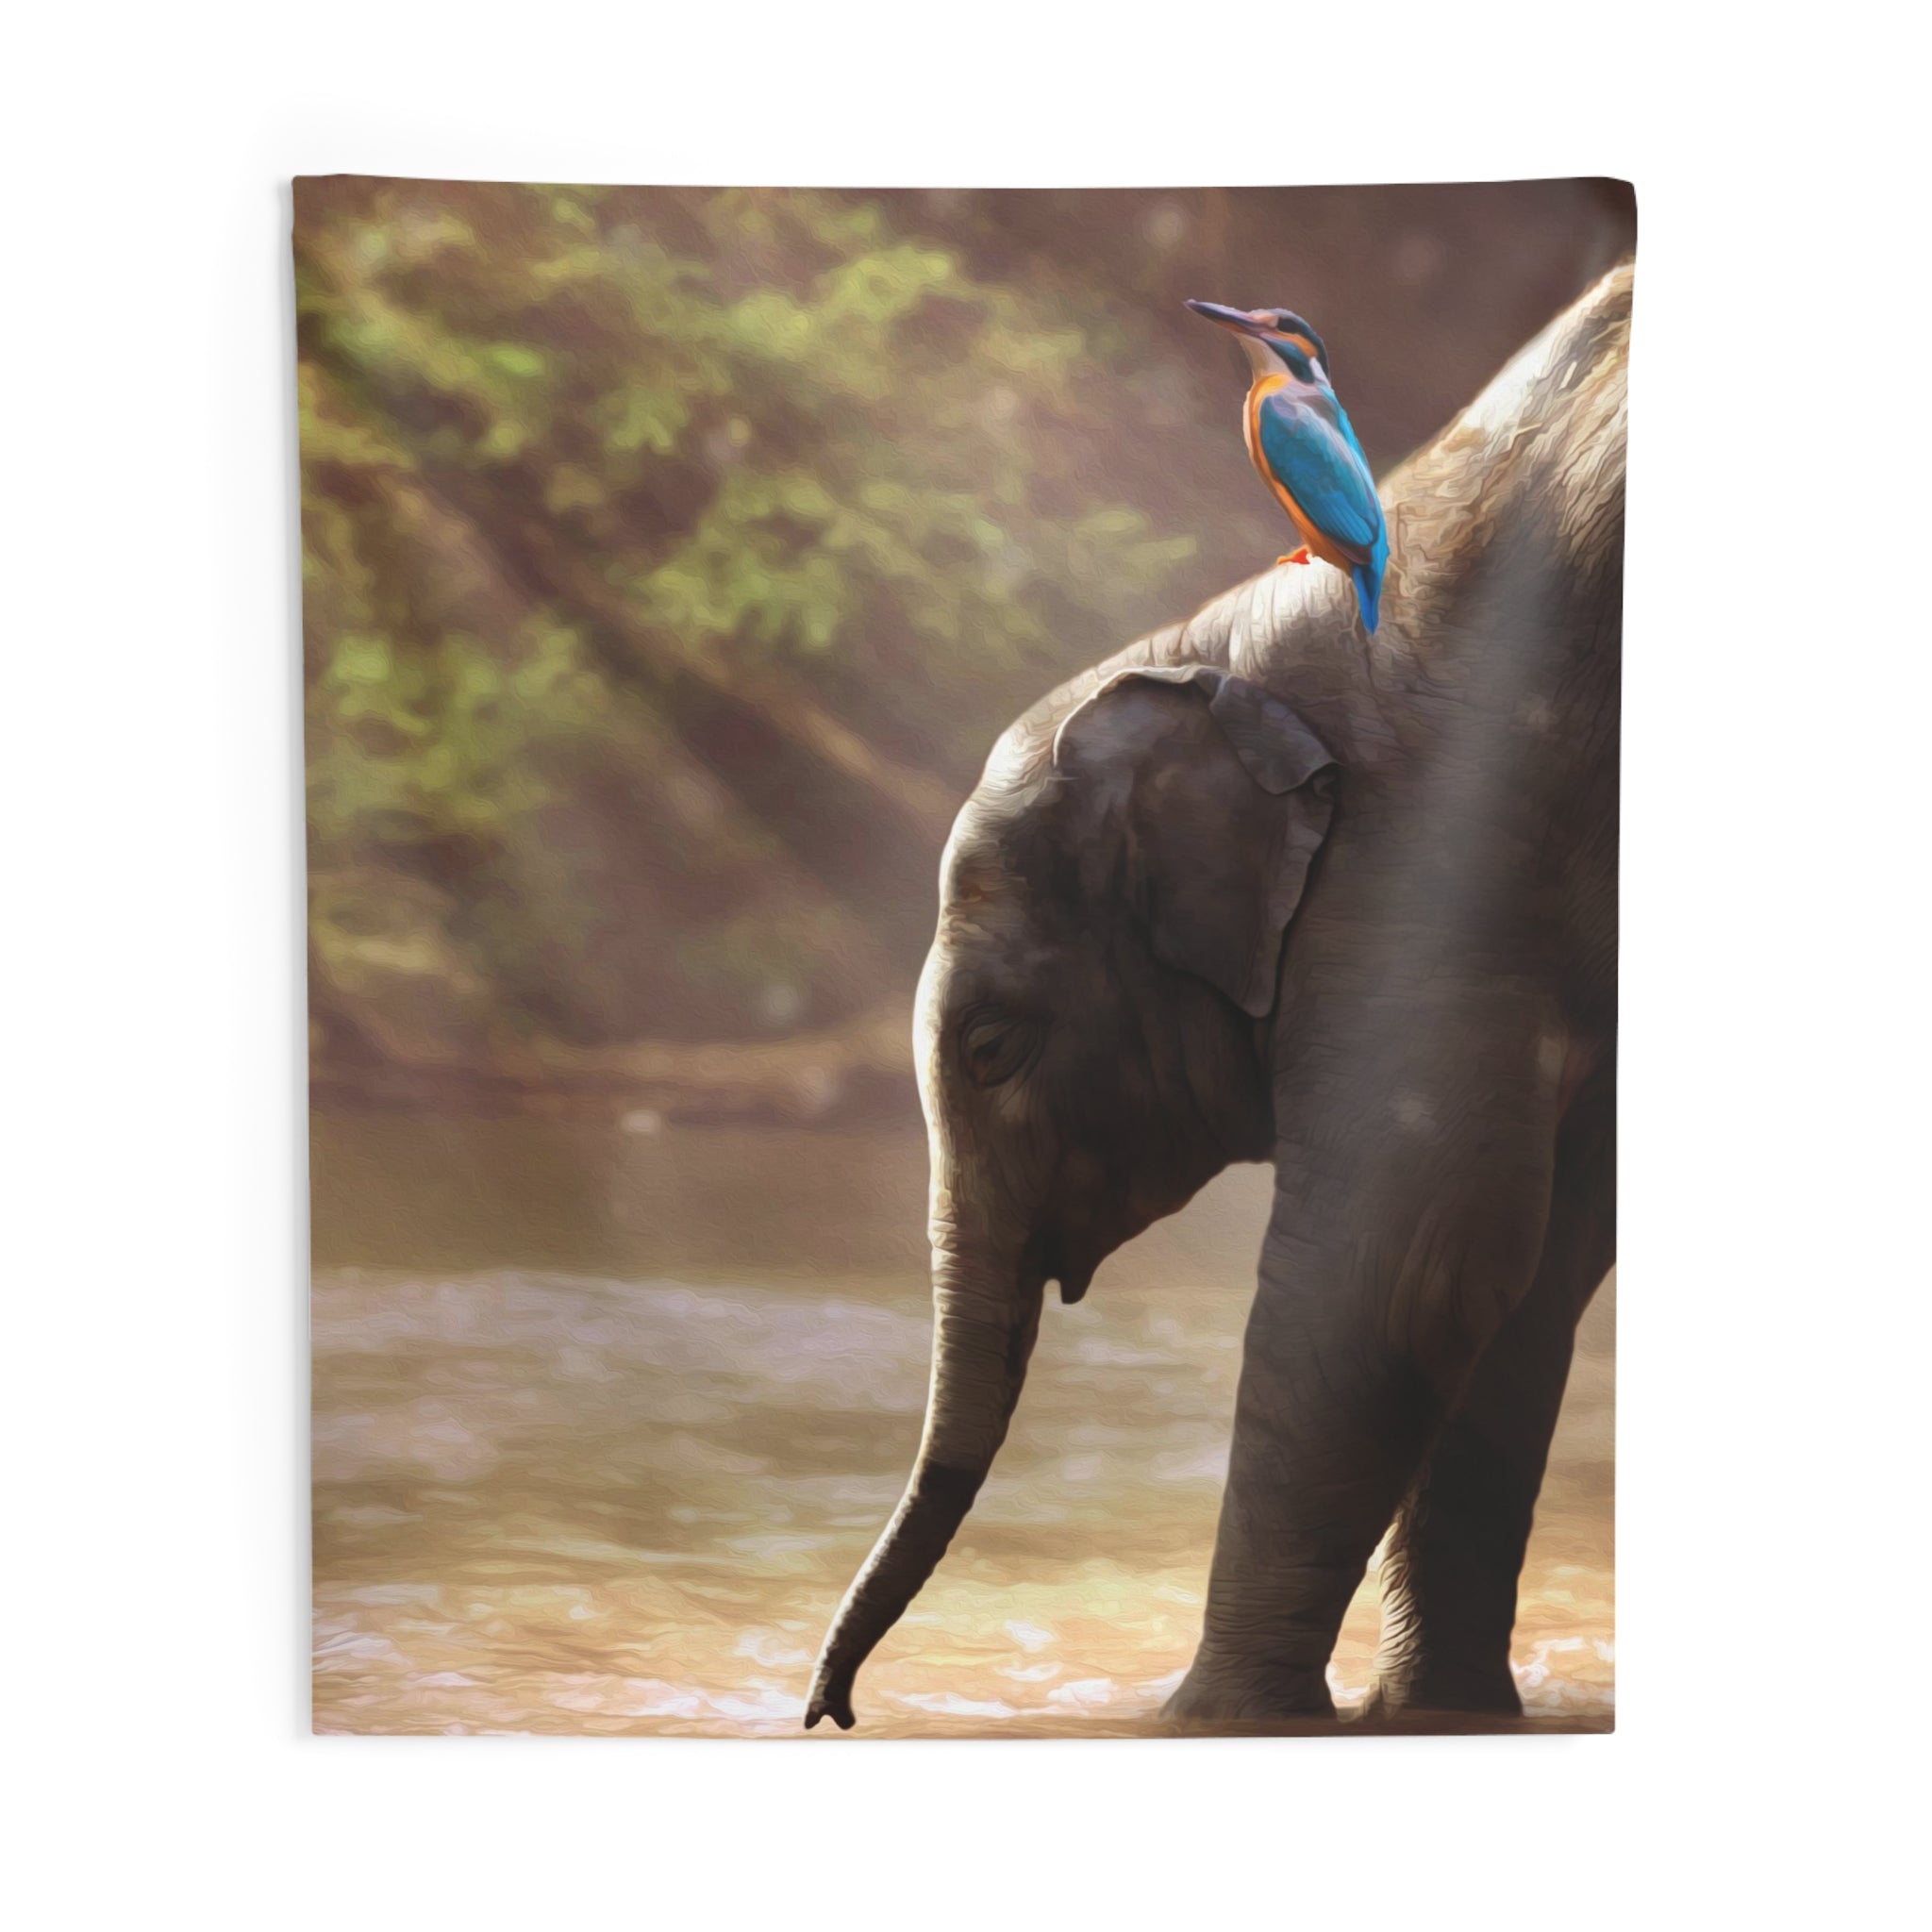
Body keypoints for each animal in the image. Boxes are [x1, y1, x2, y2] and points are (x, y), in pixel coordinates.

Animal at [805, 260, 1628, 1730]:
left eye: (993, 1047)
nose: (828, 1709)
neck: (1216, 638)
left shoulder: (1447, 849)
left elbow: (1406, 1248)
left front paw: (1206, 1720)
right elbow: (1528, 1271)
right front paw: (1437, 1718)